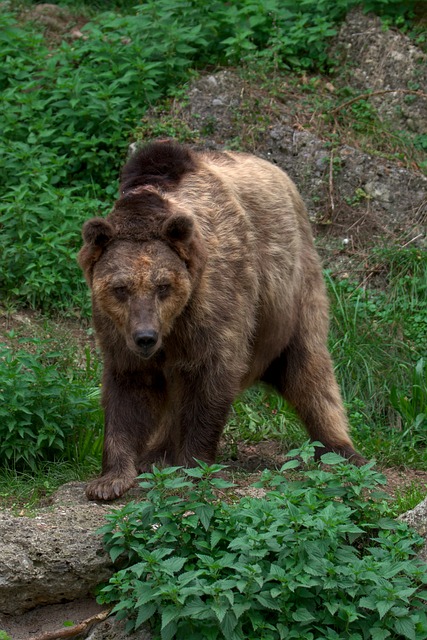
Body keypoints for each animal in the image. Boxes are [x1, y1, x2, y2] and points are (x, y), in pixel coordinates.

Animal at [78, 139, 366, 500]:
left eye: (163, 285)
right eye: (120, 288)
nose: (146, 337)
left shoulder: (213, 302)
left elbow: (210, 377)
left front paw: (191, 468)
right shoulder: (117, 331)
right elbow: (128, 389)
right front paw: (109, 480)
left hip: (292, 293)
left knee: (309, 369)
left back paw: (341, 449)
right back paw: (155, 454)